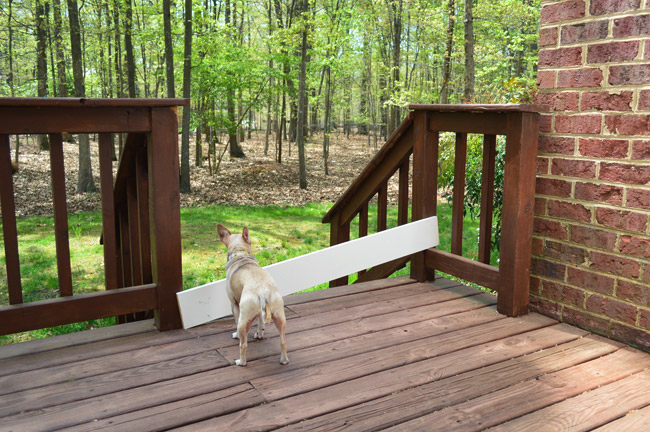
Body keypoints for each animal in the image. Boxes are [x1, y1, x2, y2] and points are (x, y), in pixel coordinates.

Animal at [216, 224, 288, 366]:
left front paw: (236, 335)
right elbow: (261, 323)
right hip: (280, 317)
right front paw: (259, 334)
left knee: (243, 345)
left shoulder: (234, 304)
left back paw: (240, 361)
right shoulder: (260, 312)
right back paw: (284, 360)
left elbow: (235, 320)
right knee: (283, 341)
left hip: (244, 320)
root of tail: (263, 290)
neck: (240, 254)